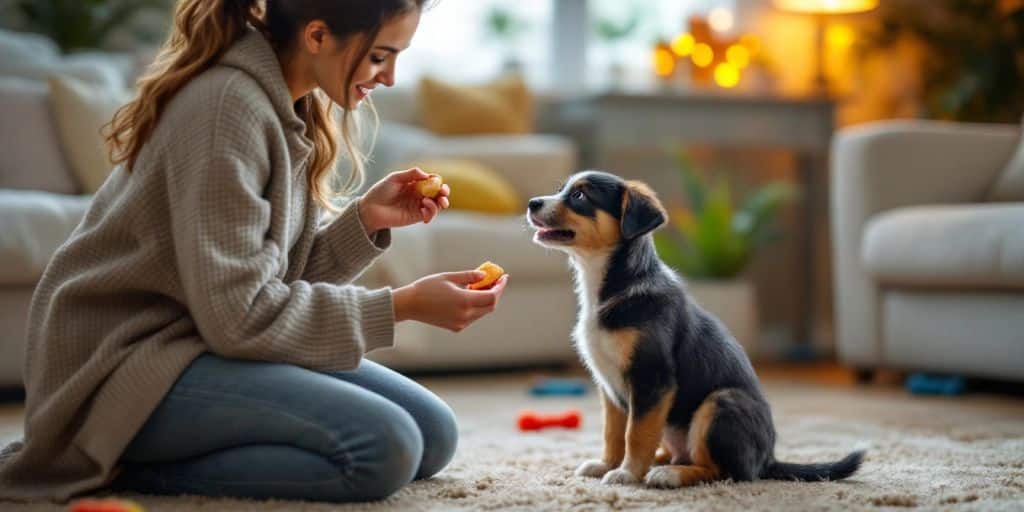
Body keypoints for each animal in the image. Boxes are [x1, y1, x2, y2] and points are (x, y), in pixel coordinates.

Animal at [528, 171, 864, 487]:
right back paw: (661, 462)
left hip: (719, 403)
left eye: (580, 195)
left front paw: (627, 474)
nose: (532, 203)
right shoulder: (609, 386)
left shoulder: (651, 378)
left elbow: (635, 434)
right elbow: (613, 433)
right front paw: (607, 464)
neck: (610, 285)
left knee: (727, 471)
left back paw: (669, 475)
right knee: (682, 453)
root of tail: (767, 460)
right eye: (561, 189)